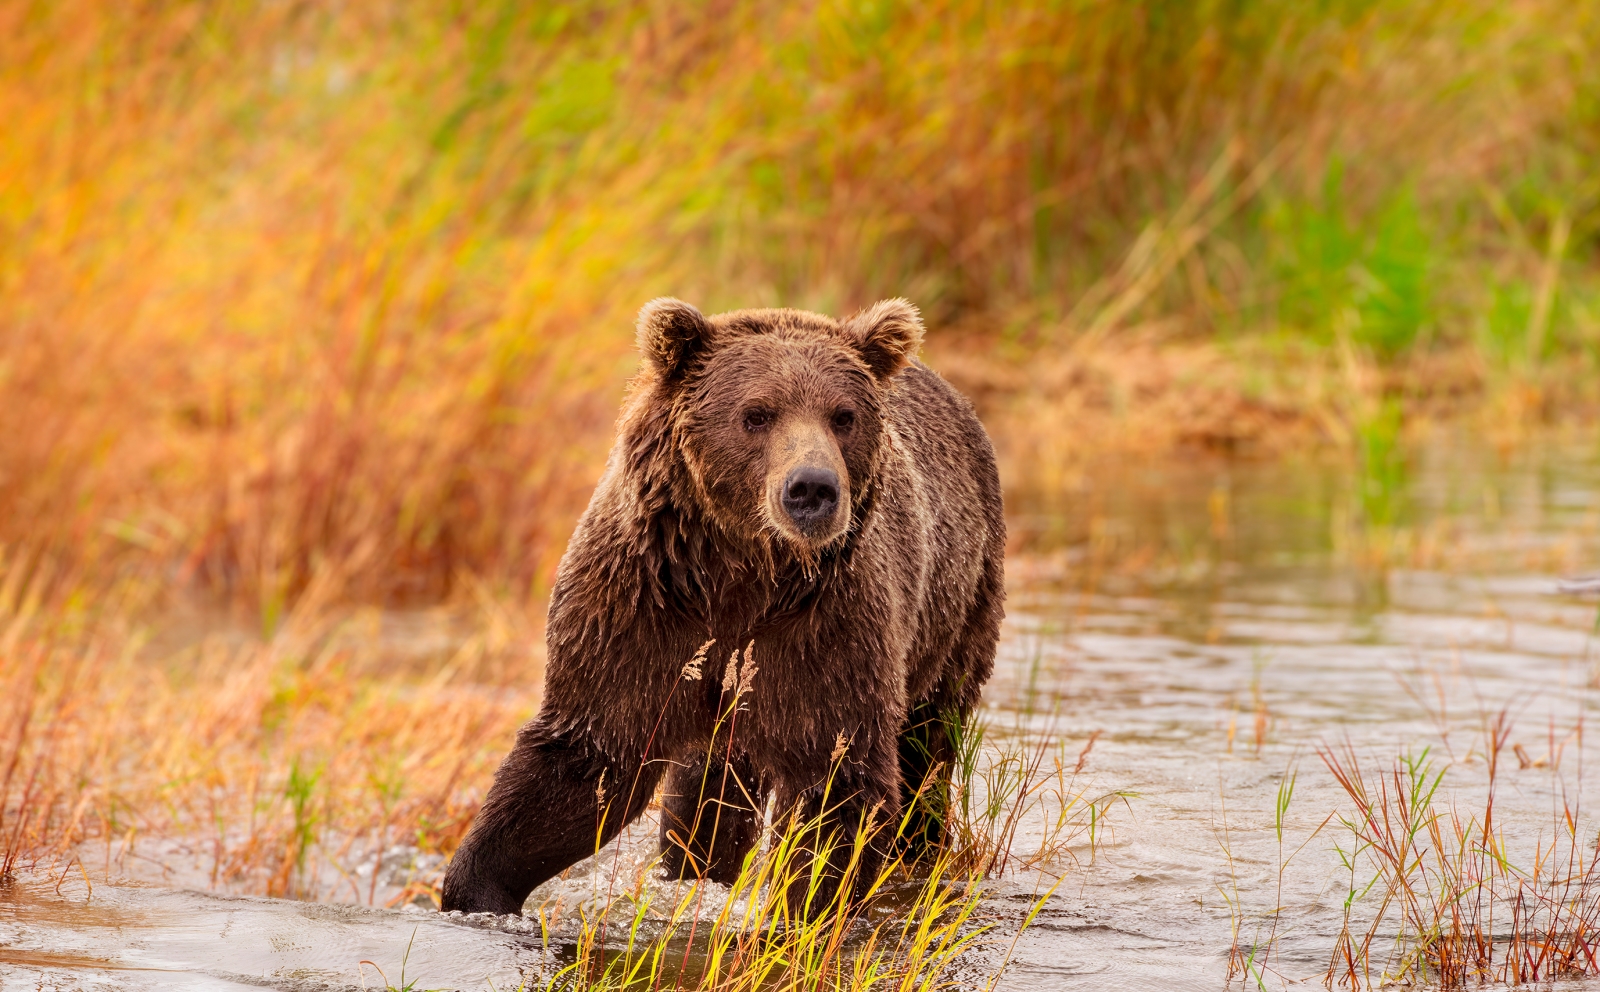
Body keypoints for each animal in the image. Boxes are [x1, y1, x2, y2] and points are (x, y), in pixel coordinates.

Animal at [438, 297, 998, 915]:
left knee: (927, 747)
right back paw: (696, 867)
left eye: (843, 416)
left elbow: (836, 780)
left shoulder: (826, 627)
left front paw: (802, 909)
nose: (812, 488)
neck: (740, 571)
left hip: (958, 611)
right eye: (757, 414)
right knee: (708, 792)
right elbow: (588, 759)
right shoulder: (641, 609)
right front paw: (474, 888)